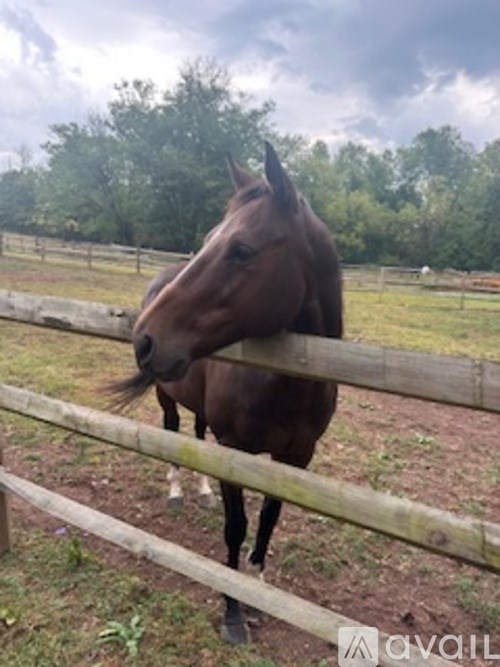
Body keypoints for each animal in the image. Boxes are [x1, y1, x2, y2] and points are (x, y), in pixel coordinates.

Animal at [114, 142, 343, 644]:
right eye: (210, 239)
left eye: (242, 249)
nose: (144, 340)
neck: (285, 383)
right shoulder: (234, 449)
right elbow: (236, 527)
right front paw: (233, 611)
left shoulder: (295, 460)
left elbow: (268, 522)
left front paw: (258, 594)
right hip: (167, 398)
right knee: (174, 432)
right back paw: (178, 491)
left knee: (197, 435)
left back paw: (201, 491)